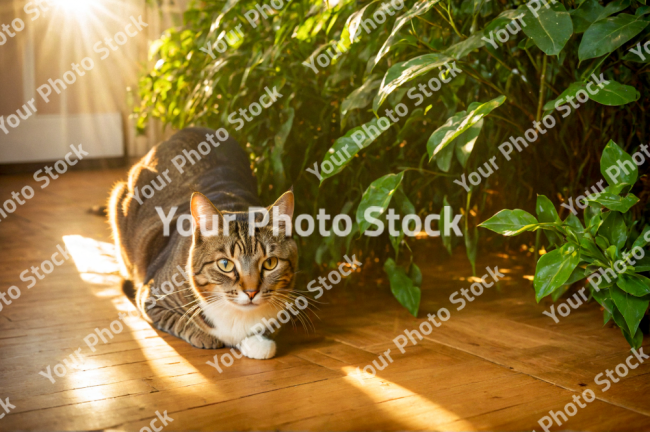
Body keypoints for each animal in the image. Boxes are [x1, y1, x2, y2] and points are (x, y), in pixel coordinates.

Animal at [108, 126, 296, 360]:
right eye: (225, 264)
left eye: (270, 263)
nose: (251, 292)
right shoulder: (152, 296)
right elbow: (180, 319)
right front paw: (205, 336)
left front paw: (257, 343)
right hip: (120, 202)